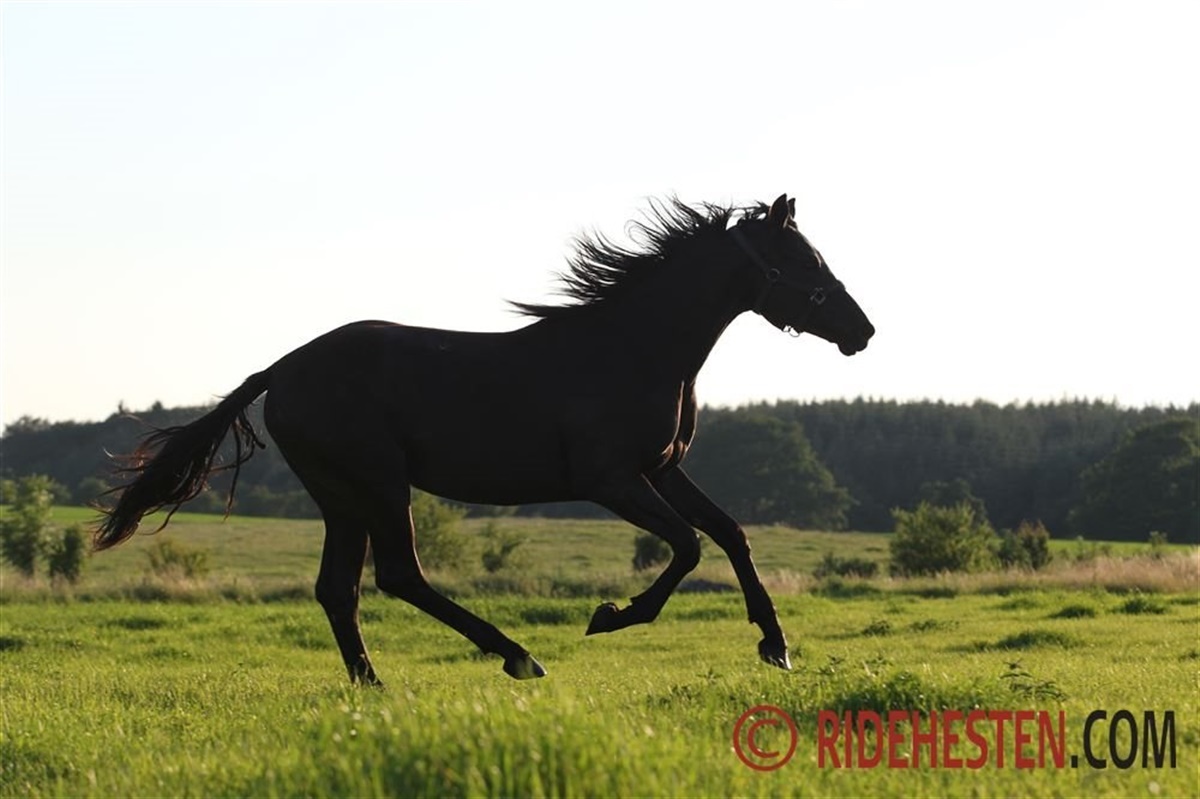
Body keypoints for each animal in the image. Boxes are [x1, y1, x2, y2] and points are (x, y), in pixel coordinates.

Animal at [94, 194, 875, 685]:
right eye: (803, 261)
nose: (862, 330)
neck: (633, 348)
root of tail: (281, 369)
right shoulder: (610, 480)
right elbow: (686, 545)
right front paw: (611, 616)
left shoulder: (662, 470)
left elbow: (731, 533)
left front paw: (775, 645)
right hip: (379, 481)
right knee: (397, 575)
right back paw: (518, 656)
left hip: (341, 494)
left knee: (338, 588)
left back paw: (373, 685)